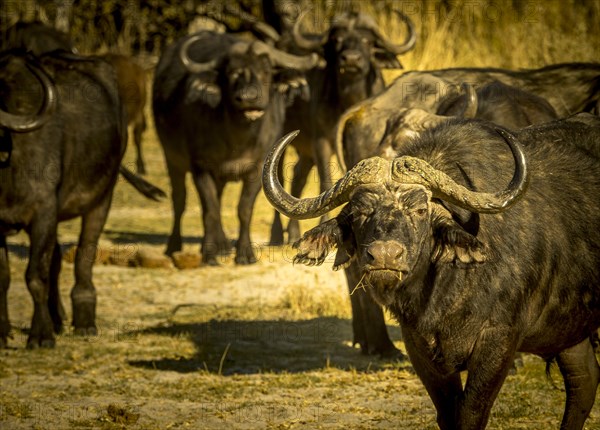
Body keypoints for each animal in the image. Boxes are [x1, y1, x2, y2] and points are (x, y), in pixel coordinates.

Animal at [0, 48, 163, 348]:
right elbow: (4, 277)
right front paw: (3, 332)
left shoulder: (43, 213)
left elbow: (35, 275)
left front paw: (40, 336)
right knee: (56, 258)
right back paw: (57, 318)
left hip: (102, 197)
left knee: (85, 252)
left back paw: (84, 319)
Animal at [155, 30, 324, 264]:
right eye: (233, 73)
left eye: (265, 71)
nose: (248, 98)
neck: (237, 139)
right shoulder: (201, 167)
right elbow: (210, 210)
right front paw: (209, 255)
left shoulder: (257, 167)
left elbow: (244, 209)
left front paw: (244, 253)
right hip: (172, 159)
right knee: (180, 200)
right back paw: (175, 246)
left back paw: (223, 245)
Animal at [264, 115, 600, 430]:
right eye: (359, 211)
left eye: (420, 210)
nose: (385, 255)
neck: (446, 289)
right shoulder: (418, 344)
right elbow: (448, 415)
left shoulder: (500, 339)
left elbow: (471, 414)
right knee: (585, 378)